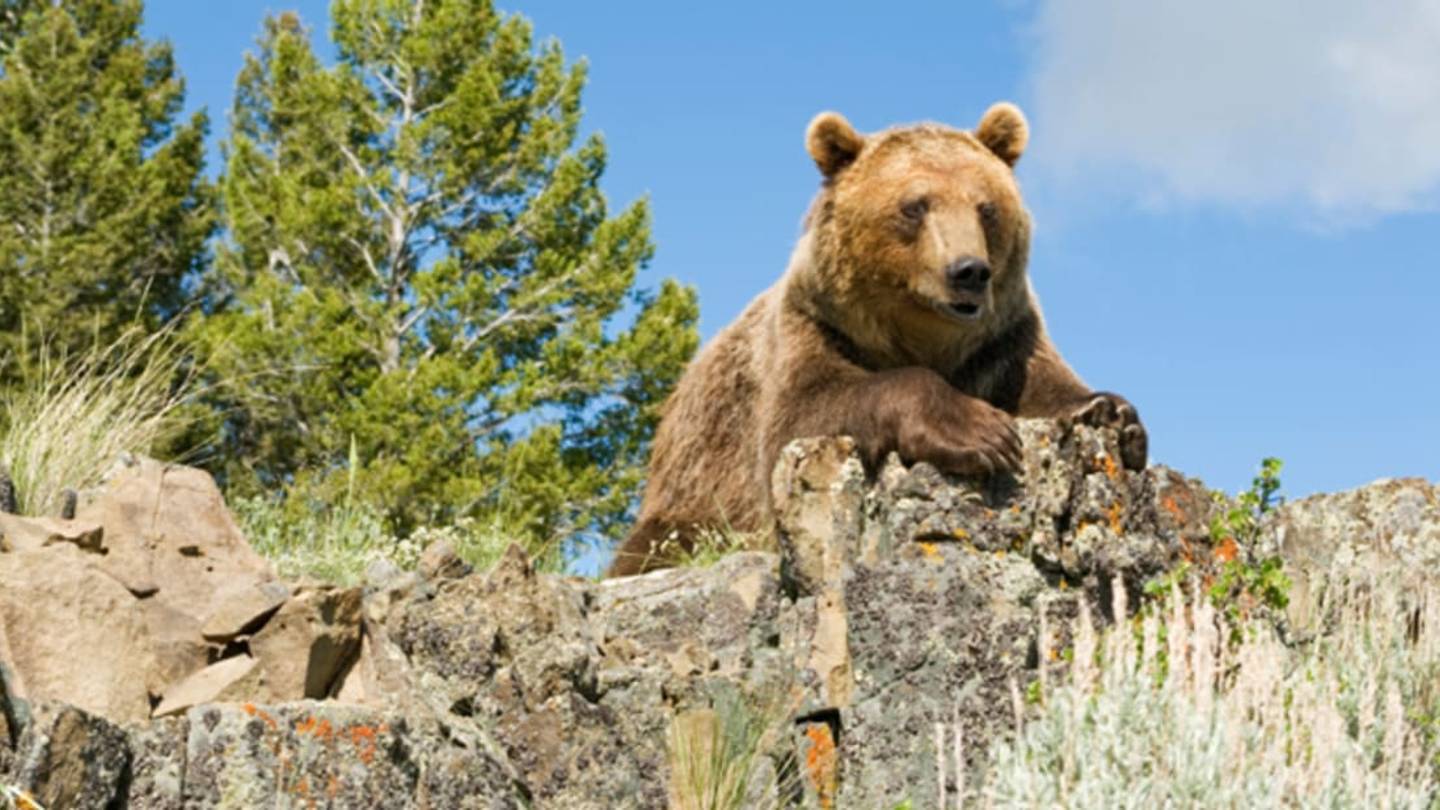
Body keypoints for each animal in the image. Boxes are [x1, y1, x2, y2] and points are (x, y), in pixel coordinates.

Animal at [607, 102, 1146, 577]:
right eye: (914, 206)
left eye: (987, 208)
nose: (969, 271)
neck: (920, 335)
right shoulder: (811, 332)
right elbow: (804, 413)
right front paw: (979, 431)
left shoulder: (1003, 340)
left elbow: (1040, 383)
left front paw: (1110, 413)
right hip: (691, 490)